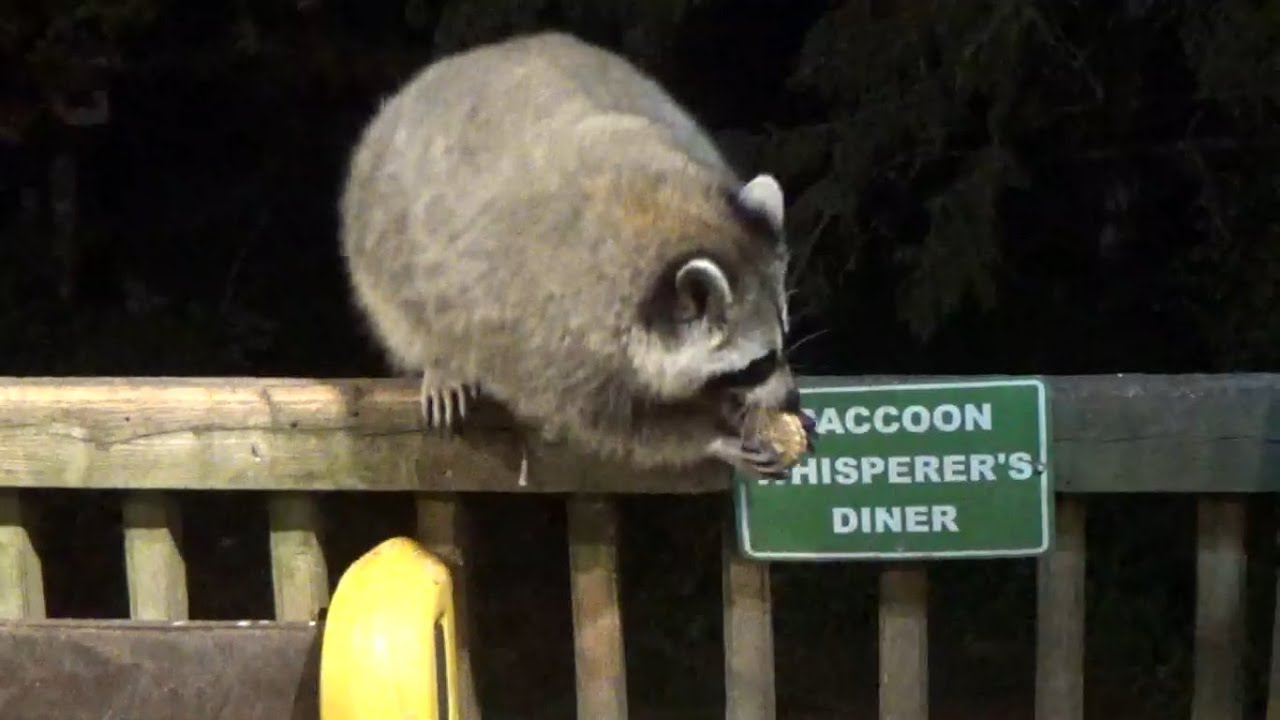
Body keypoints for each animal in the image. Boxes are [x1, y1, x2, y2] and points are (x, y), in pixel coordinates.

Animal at [338, 31, 813, 477]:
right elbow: (610, 425)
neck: (669, 219)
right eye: (758, 363)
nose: (792, 398)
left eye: (783, 338)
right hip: (381, 243)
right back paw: (440, 360)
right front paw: (706, 436)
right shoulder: (554, 346)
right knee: (409, 309)